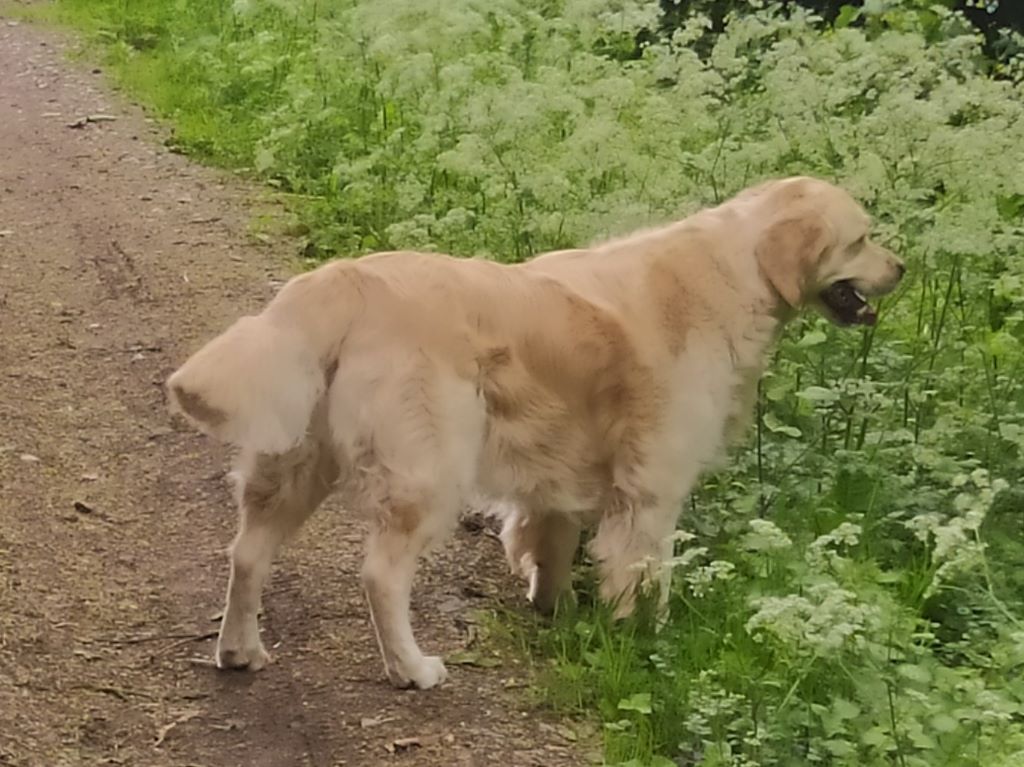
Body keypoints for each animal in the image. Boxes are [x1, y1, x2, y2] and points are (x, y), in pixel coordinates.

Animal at [165, 178, 905, 688]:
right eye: (862, 238)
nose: (902, 269)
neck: (732, 271)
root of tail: (341, 280)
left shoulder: (560, 472)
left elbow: (551, 542)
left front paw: (555, 609)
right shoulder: (653, 488)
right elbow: (646, 575)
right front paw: (645, 644)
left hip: (296, 458)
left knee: (247, 552)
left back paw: (239, 650)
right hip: (427, 472)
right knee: (379, 574)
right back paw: (412, 668)